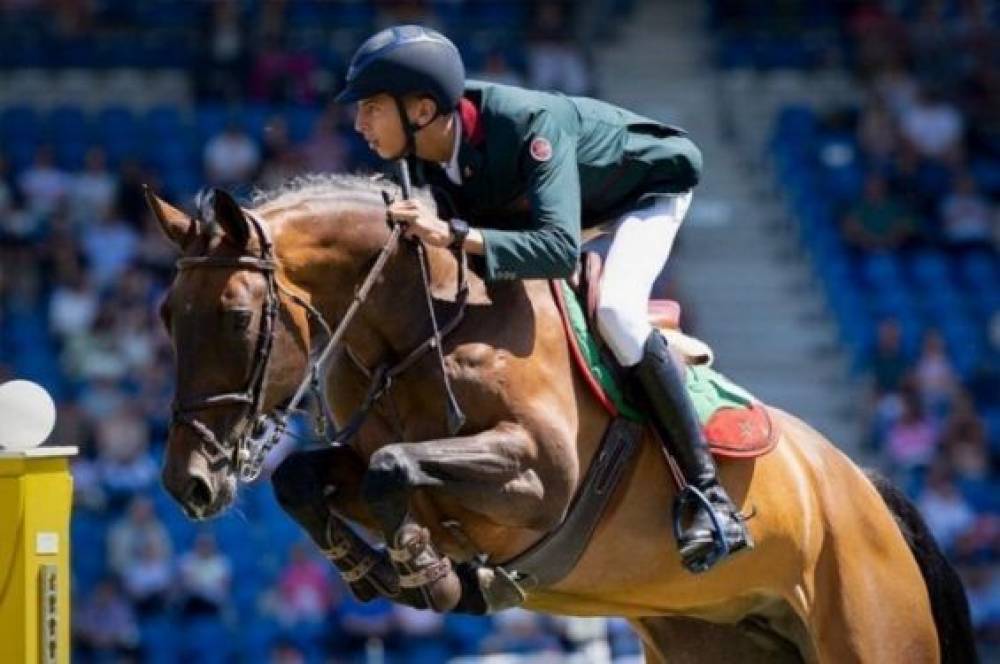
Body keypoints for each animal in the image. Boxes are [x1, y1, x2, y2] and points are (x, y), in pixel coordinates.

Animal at [150, 176, 976, 664]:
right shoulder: (370, 463)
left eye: (235, 318)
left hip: (873, 632)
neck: (424, 323)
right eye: (163, 315)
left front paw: (430, 574)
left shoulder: (537, 481)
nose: (189, 482)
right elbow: (303, 479)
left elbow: (395, 470)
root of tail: (866, 491)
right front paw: (376, 571)